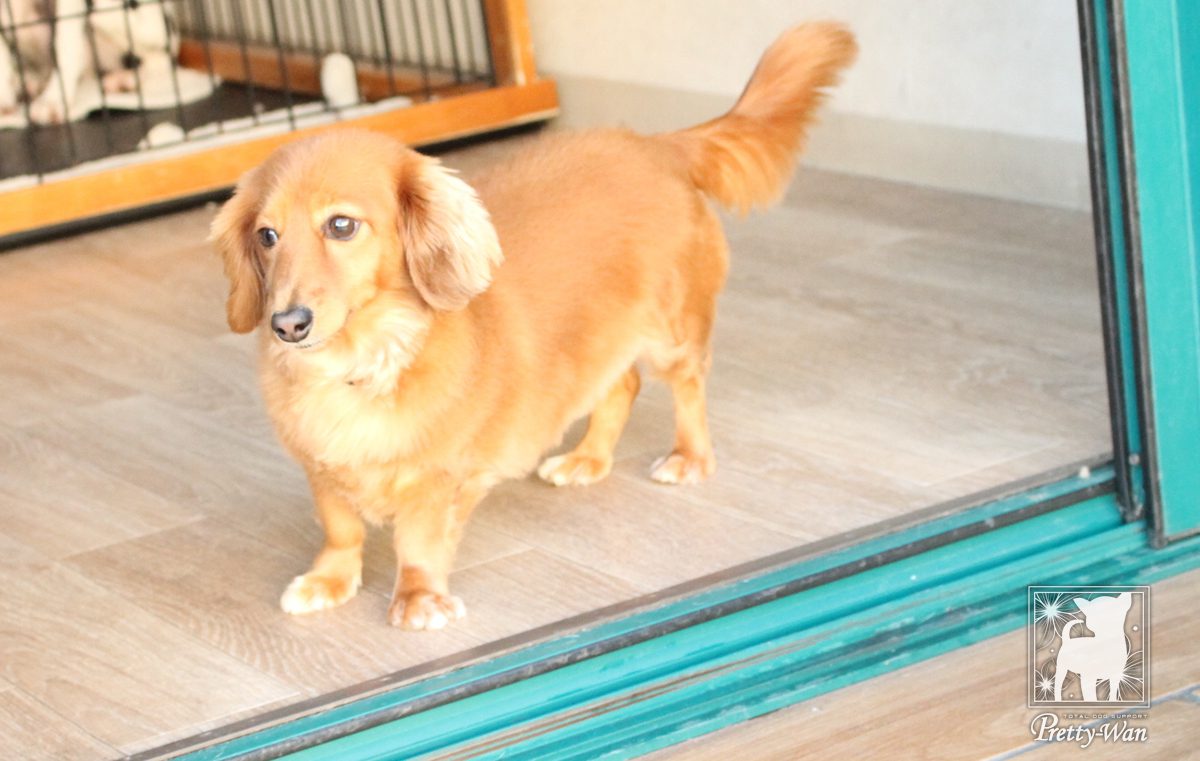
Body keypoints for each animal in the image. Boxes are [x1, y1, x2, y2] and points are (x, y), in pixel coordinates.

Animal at [212, 23, 857, 630]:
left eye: (342, 225)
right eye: (267, 236)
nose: (287, 324)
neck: (365, 362)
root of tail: (655, 147)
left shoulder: (438, 478)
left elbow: (417, 540)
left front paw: (417, 597)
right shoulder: (321, 472)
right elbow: (340, 528)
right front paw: (330, 578)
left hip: (671, 333)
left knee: (688, 388)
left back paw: (688, 457)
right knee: (621, 387)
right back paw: (588, 459)